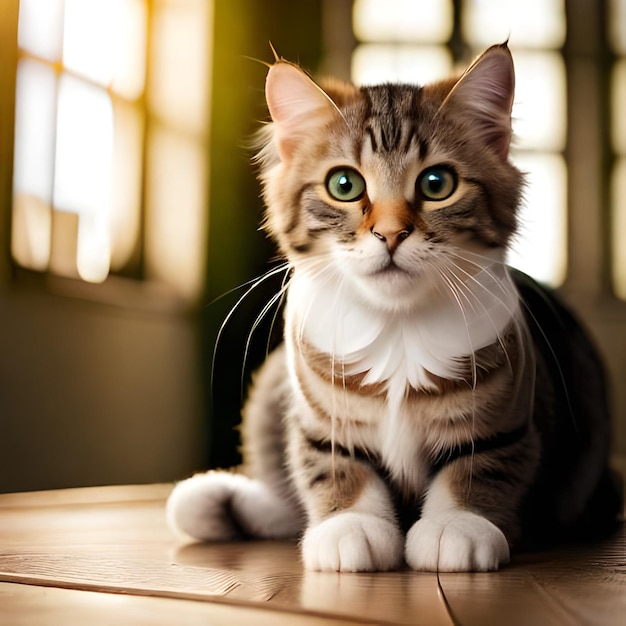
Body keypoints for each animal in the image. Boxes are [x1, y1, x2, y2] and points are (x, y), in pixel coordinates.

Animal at [166, 42, 620, 572]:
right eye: (344, 185)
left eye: (437, 183)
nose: (390, 234)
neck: (398, 325)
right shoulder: (320, 417)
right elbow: (333, 468)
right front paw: (350, 526)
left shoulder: (509, 416)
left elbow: (479, 468)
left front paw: (457, 526)